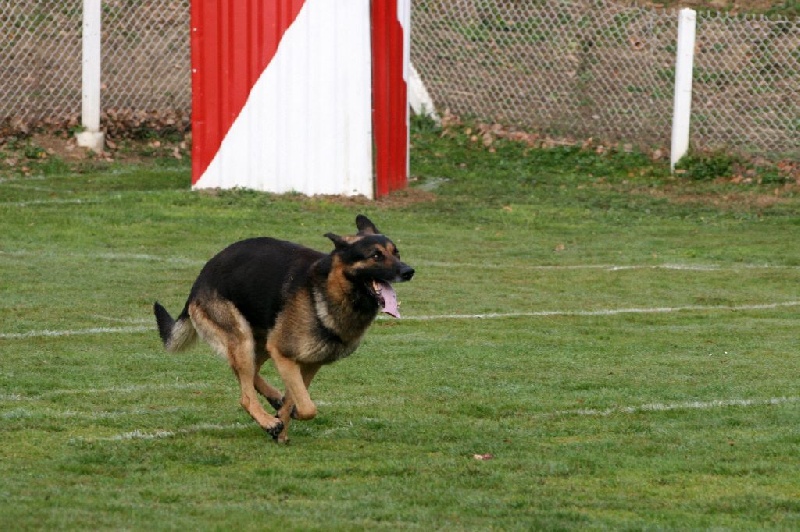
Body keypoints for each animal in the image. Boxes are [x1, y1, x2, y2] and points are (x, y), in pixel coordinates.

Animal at [152, 214, 412, 442]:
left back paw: (274, 400)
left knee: (247, 375)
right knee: (245, 395)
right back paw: (267, 420)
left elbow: (296, 398)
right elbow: (307, 407)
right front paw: (280, 423)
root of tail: (199, 280)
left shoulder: (309, 362)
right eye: (376, 255)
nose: (409, 271)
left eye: (396, 253)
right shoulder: (284, 354)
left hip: (259, 342)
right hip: (243, 339)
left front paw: (283, 426)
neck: (329, 289)